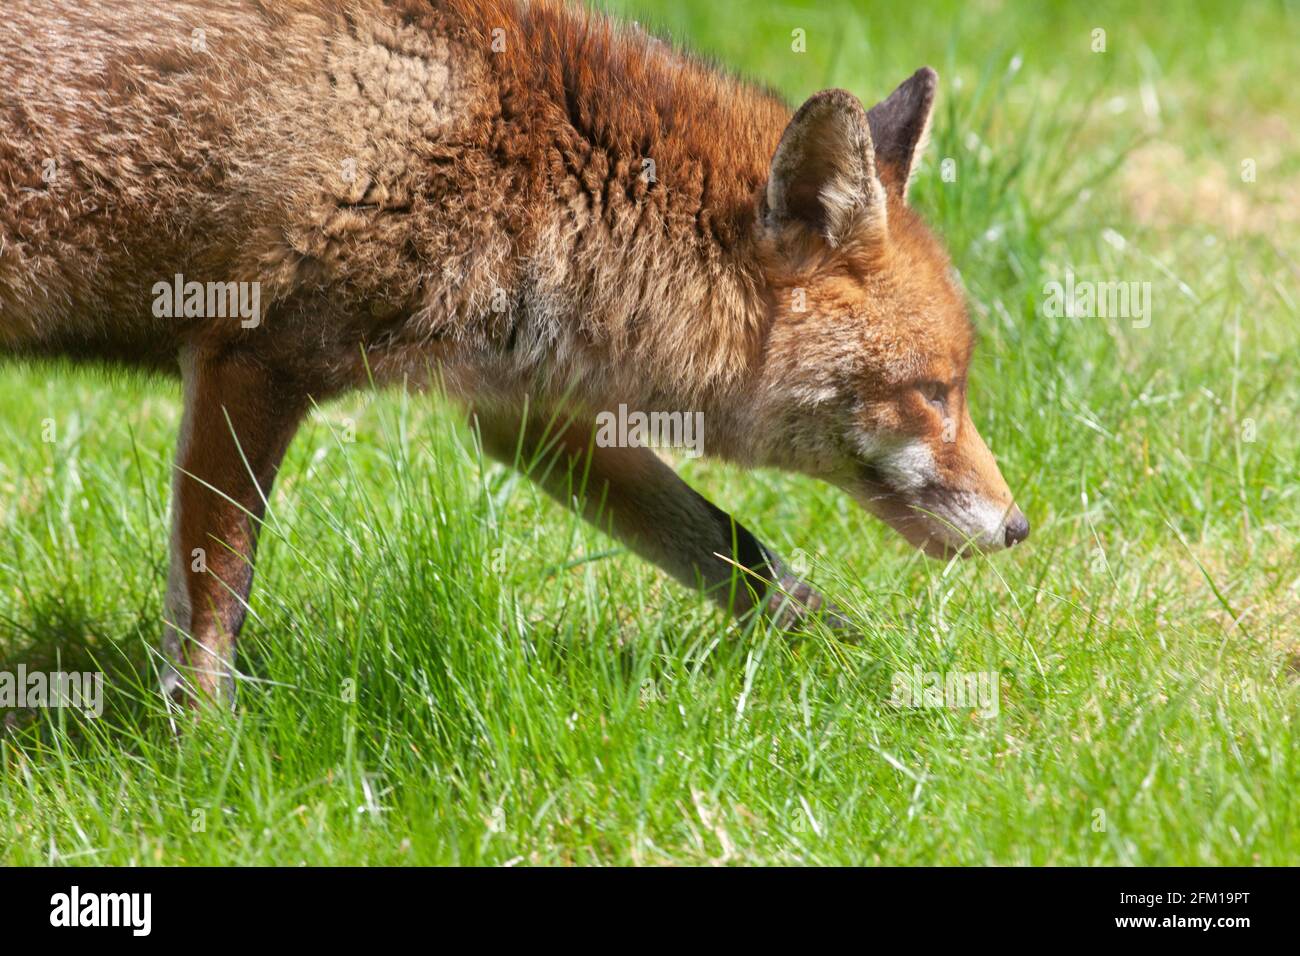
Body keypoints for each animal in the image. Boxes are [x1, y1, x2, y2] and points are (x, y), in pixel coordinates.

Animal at [5, 0, 1029, 702]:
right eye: (935, 392)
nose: (1021, 529)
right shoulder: (251, 359)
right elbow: (214, 609)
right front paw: (206, 755)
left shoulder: (529, 415)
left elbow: (739, 552)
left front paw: (865, 668)